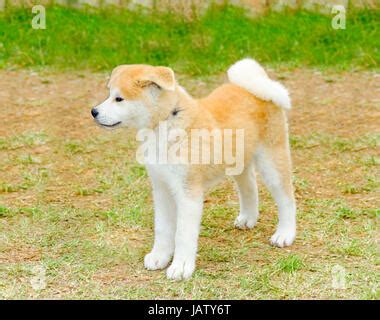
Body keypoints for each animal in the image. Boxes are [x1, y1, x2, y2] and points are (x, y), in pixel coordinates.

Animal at [93, 58, 296, 278]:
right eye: (109, 94)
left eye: (119, 99)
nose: (93, 112)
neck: (167, 122)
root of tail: (259, 87)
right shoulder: (161, 188)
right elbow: (162, 228)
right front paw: (159, 256)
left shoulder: (188, 192)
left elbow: (183, 233)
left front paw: (181, 267)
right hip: (239, 163)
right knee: (249, 187)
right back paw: (248, 218)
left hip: (272, 162)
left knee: (287, 199)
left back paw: (285, 234)